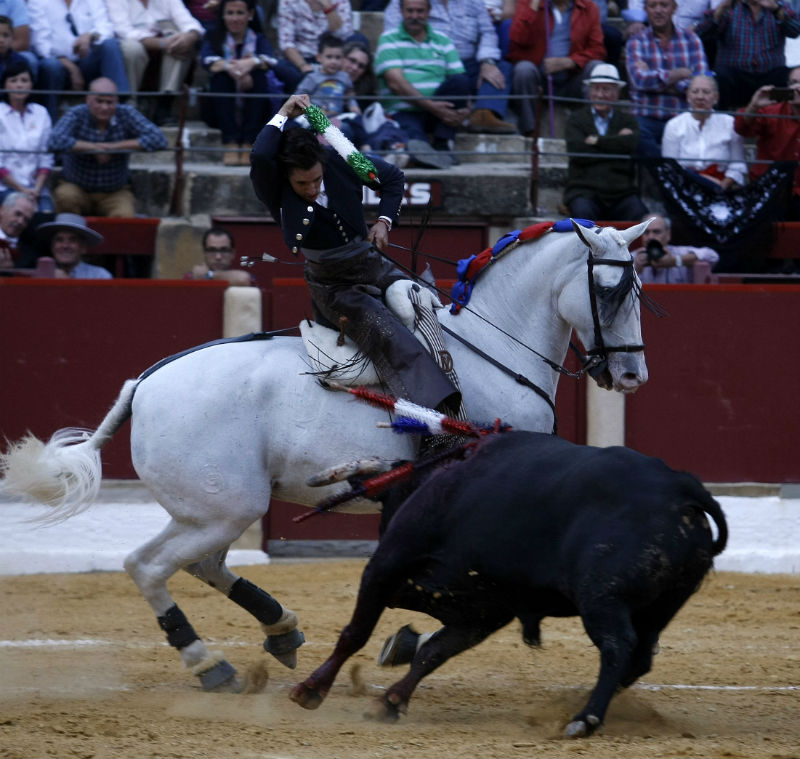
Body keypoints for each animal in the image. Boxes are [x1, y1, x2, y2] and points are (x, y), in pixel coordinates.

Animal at [0, 218, 648, 688]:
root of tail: (145, 383)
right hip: (226, 507)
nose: (631, 374)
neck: (492, 349)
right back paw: (209, 663)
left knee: (198, 564)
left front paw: (400, 641)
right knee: (148, 566)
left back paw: (280, 631)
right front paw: (405, 641)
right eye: (609, 291)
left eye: (641, 289)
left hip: (209, 508)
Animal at [290, 434, 728, 736]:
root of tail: (682, 488)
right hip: (660, 608)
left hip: (602, 597)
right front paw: (391, 702)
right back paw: (582, 707)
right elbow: (433, 653)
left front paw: (310, 690)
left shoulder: (386, 566)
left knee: (617, 646)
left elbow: (356, 633)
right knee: (640, 656)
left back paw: (583, 719)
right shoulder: (484, 613)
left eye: (390, 502)